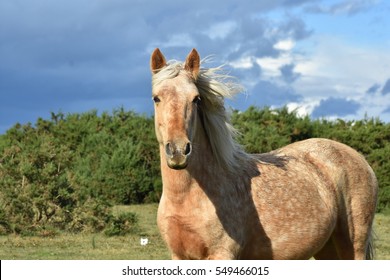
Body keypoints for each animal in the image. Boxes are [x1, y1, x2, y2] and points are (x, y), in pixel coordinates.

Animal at [149, 48, 378, 260]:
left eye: (196, 99)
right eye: (156, 98)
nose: (178, 151)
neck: (188, 196)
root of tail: (359, 157)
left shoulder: (222, 254)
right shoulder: (179, 256)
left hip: (353, 245)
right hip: (326, 248)